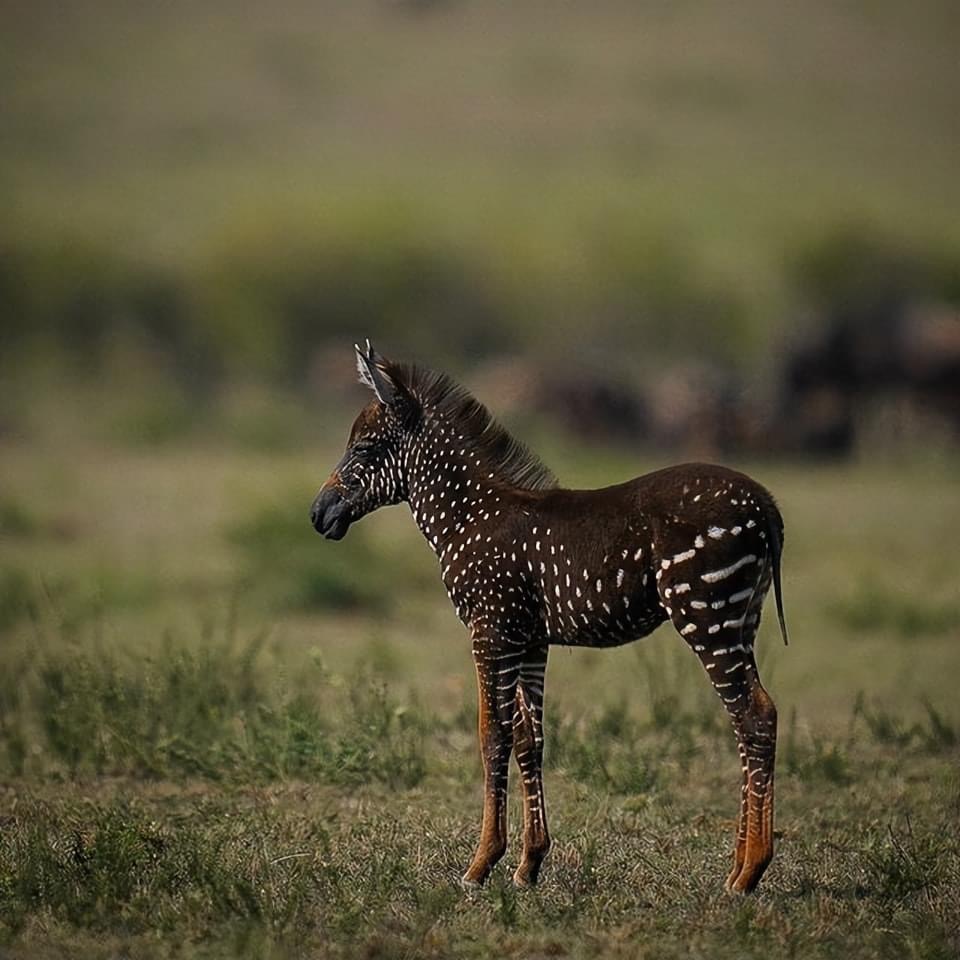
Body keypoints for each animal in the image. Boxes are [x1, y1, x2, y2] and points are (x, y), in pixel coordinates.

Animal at [312, 342, 792, 896]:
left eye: (365, 449)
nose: (317, 514)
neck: (467, 516)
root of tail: (766, 503)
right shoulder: (530, 639)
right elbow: (529, 739)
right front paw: (529, 863)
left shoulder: (491, 629)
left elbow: (491, 735)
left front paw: (481, 864)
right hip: (741, 620)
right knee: (747, 721)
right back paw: (738, 866)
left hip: (707, 616)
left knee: (755, 715)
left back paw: (750, 872)